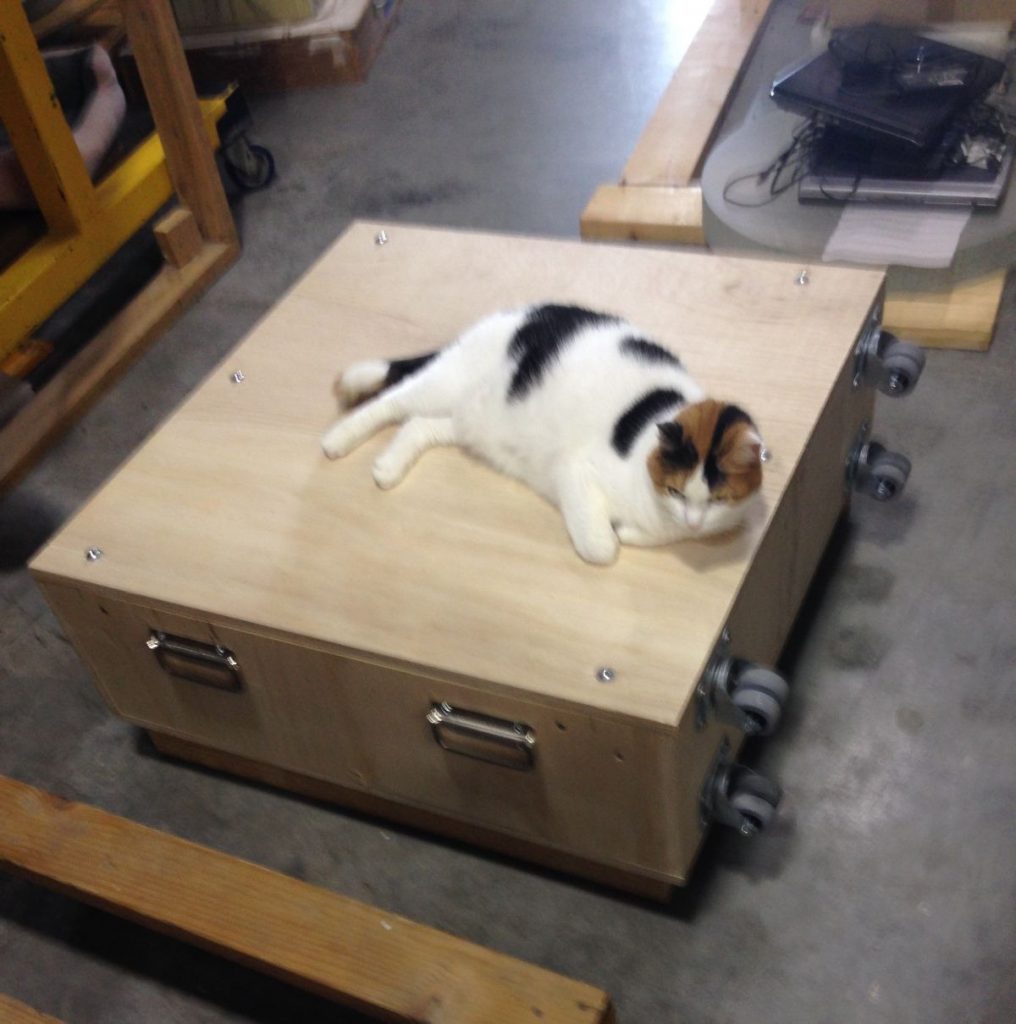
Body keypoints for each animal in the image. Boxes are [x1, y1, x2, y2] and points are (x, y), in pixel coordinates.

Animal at [319, 301, 762, 569]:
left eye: (718, 500)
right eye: (677, 491)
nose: (693, 523)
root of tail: (510, 315)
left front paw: (633, 532)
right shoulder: (575, 469)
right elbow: (603, 548)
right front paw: (616, 535)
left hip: (468, 420)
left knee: (417, 424)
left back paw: (388, 467)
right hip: (445, 384)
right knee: (391, 401)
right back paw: (337, 441)